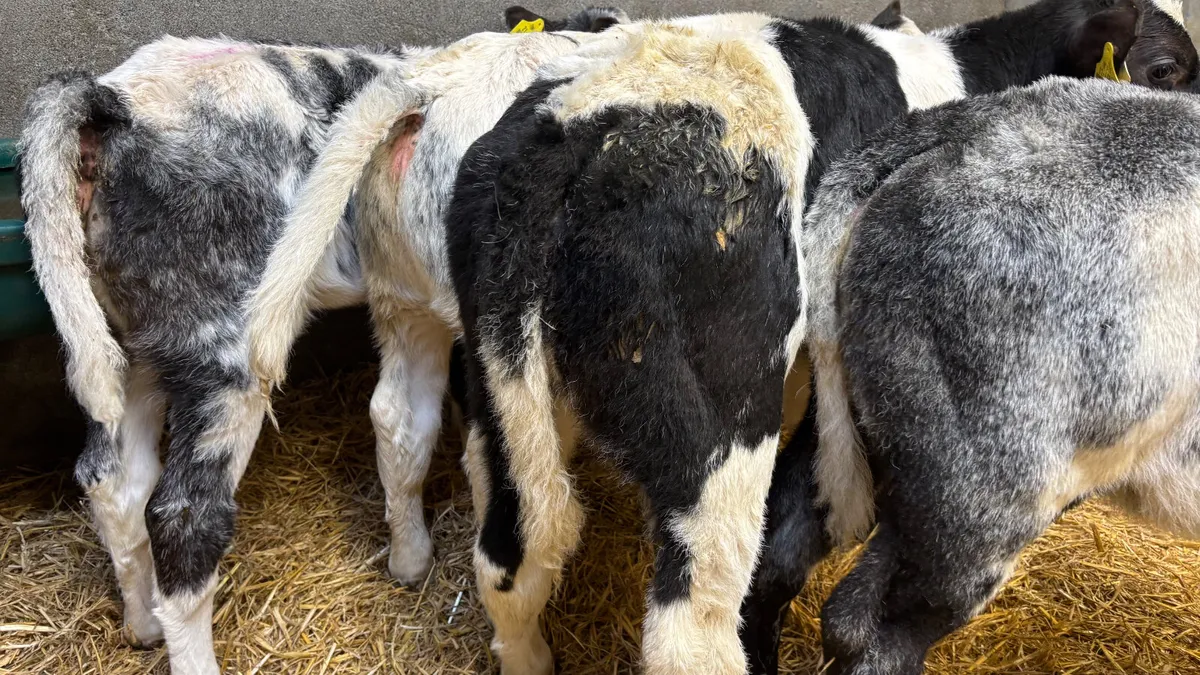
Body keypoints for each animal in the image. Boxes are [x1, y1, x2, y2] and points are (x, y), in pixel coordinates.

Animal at [17, 7, 626, 675]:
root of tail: (112, 99)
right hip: (224, 344)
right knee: (184, 515)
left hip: (131, 342)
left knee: (113, 481)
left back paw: (141, 622)